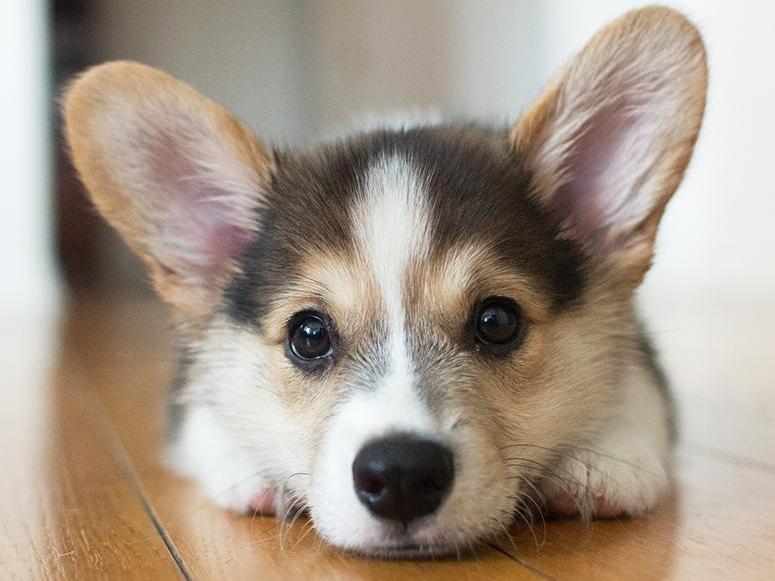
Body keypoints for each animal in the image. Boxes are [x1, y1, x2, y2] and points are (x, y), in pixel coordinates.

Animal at [63, 7, 707, 558]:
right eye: (308, 335)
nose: (401, 474)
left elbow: (635, 396)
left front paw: (603, 459)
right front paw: (255, 469)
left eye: (498, 321)